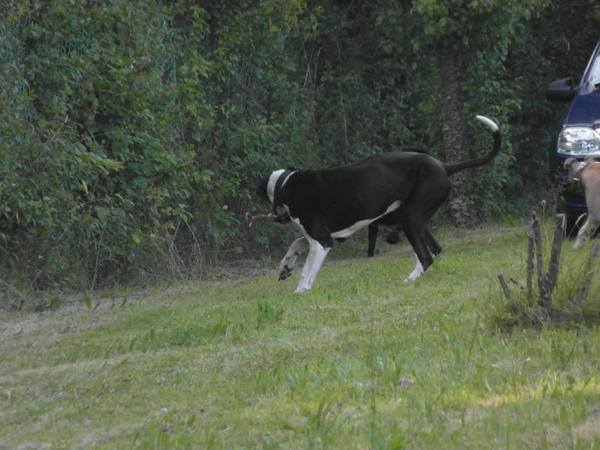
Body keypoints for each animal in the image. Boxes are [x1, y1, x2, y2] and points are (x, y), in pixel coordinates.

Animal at [258, 114, 502, 294]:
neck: (286, 184)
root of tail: (443, 166)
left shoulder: (322, 240)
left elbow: (307, 271)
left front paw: (300, 291)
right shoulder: (330, 235)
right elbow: (295, 244)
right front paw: (285, 266)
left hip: (410, 220)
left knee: (426, 257)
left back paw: (408, 280)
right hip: (415, 221)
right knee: (432, 252)